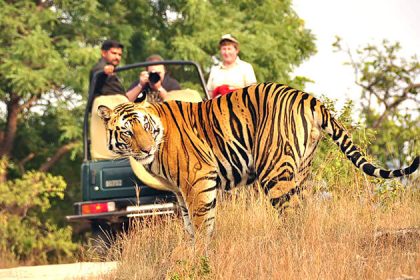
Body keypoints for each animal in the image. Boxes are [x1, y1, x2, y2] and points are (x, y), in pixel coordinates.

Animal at [97, 82, 418, 236]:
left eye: (144, 126)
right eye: (127, 132)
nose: (145, 149)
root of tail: (308, 97)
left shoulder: (198, 181)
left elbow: (202, 225)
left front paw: (200, 258)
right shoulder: (180, 192)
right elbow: (190, 227)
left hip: (274, 171)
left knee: (292, 214)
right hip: (300, 169)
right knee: (304, 210)